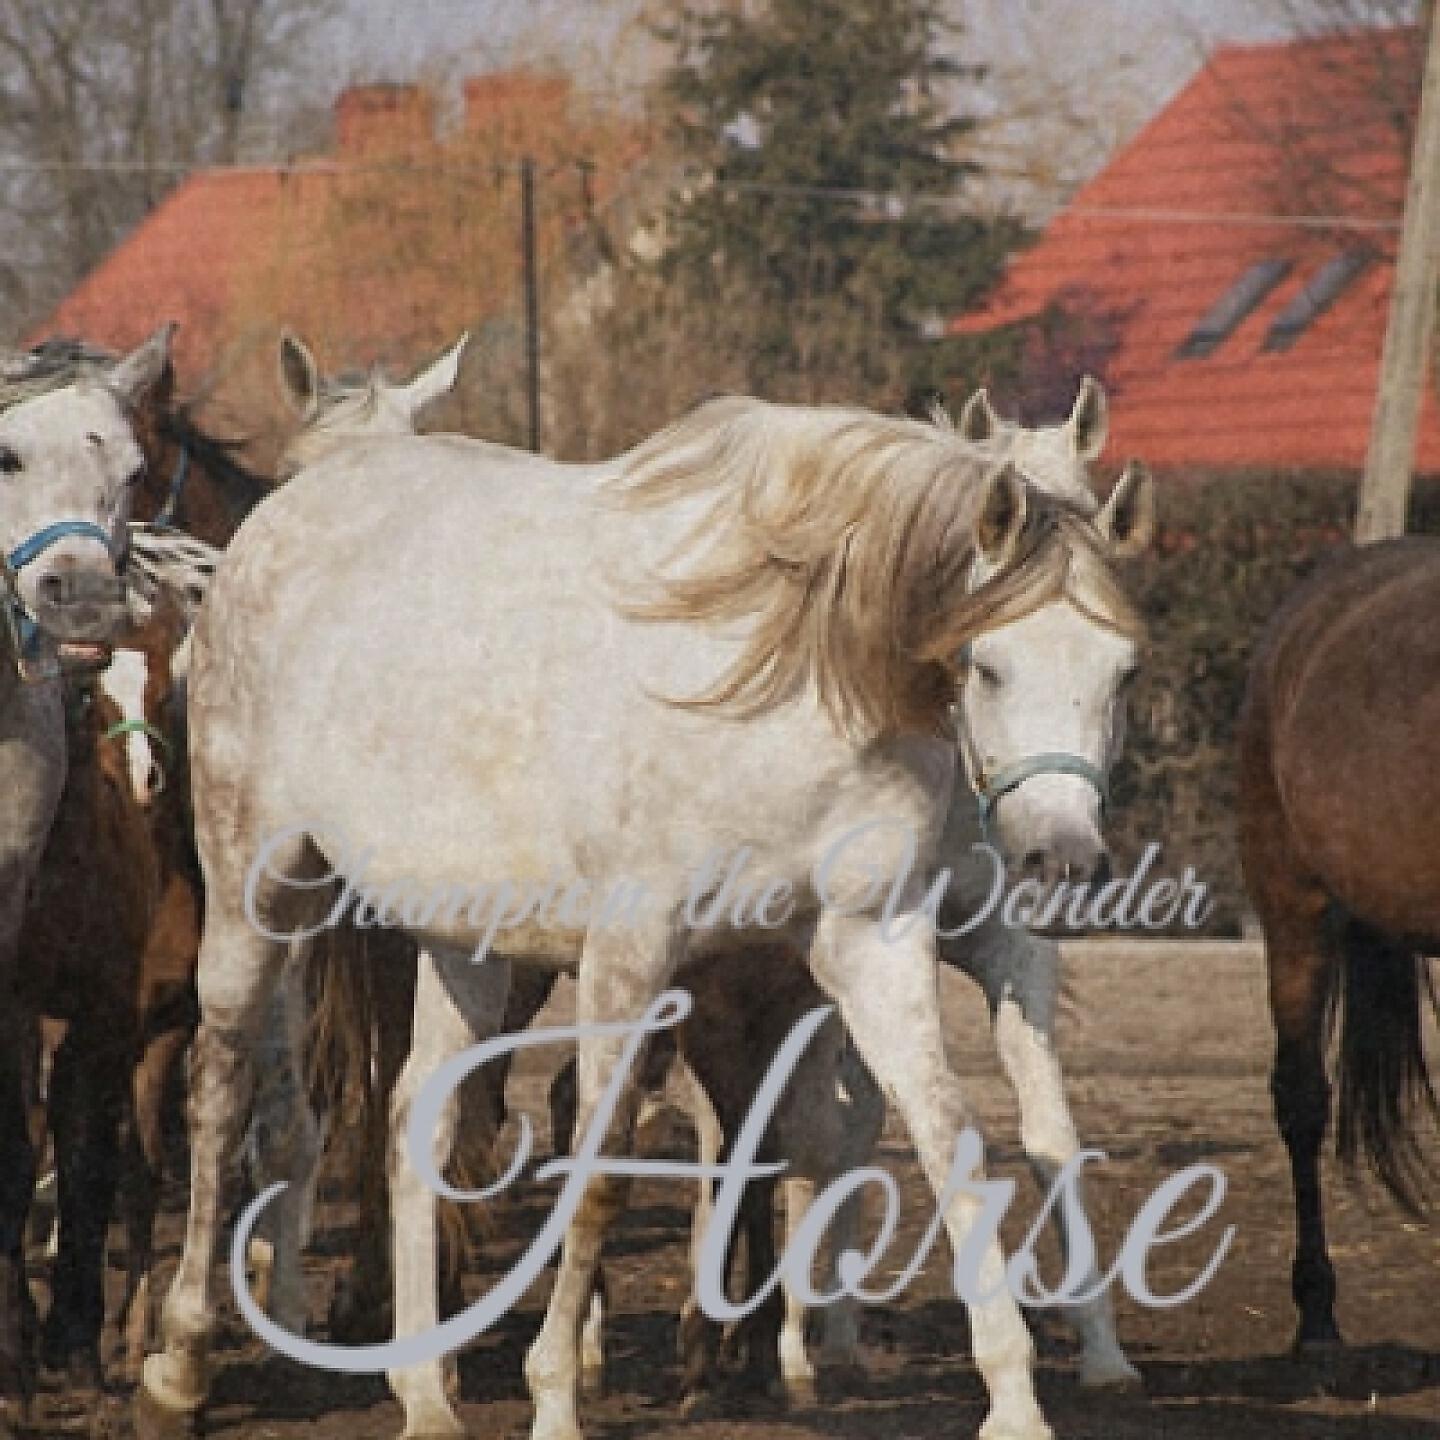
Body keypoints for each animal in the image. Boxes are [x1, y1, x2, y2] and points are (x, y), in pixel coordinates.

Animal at [137, 389, 1152, 1440]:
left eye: (1124, 670)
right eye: (987, 666)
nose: (1060, 854)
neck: (791, 679)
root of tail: (272, 525)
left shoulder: (867, 944)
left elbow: (950, 1139)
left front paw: (1016, 1398)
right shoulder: (634, 954)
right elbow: (600, 1172)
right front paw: (556, 1394)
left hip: (466, 943)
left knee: (419, 1115)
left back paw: (423, 1388)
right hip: (258, 893)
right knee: (220, 1092)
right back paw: (180, 1363)